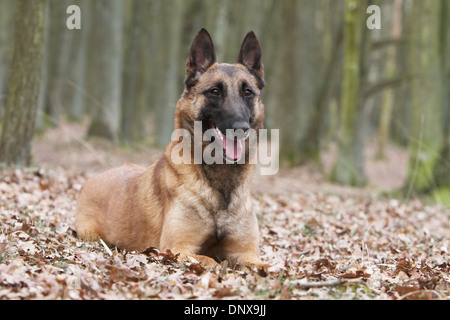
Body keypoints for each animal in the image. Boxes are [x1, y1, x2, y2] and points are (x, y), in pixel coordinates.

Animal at [75, 28, 268, 270]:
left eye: (248, 93)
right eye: (215, 91)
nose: (241, 128)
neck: (220, 183)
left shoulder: (246, 253)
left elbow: (267, 266)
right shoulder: (178, 248)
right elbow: (211, 261)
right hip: (90, 233)